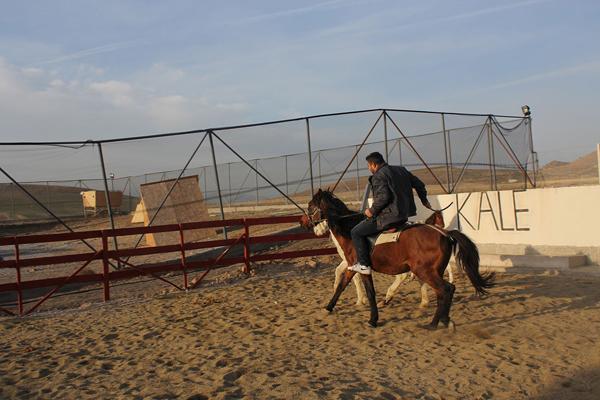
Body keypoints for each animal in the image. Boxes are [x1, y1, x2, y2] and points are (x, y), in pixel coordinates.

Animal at [314, 220, 454, 308]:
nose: (316, 231)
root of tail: (444, 234)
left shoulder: (352, 262)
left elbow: (353, 277)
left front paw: (360, 300)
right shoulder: (348, 262)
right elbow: (339, 271)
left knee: (405, 277)